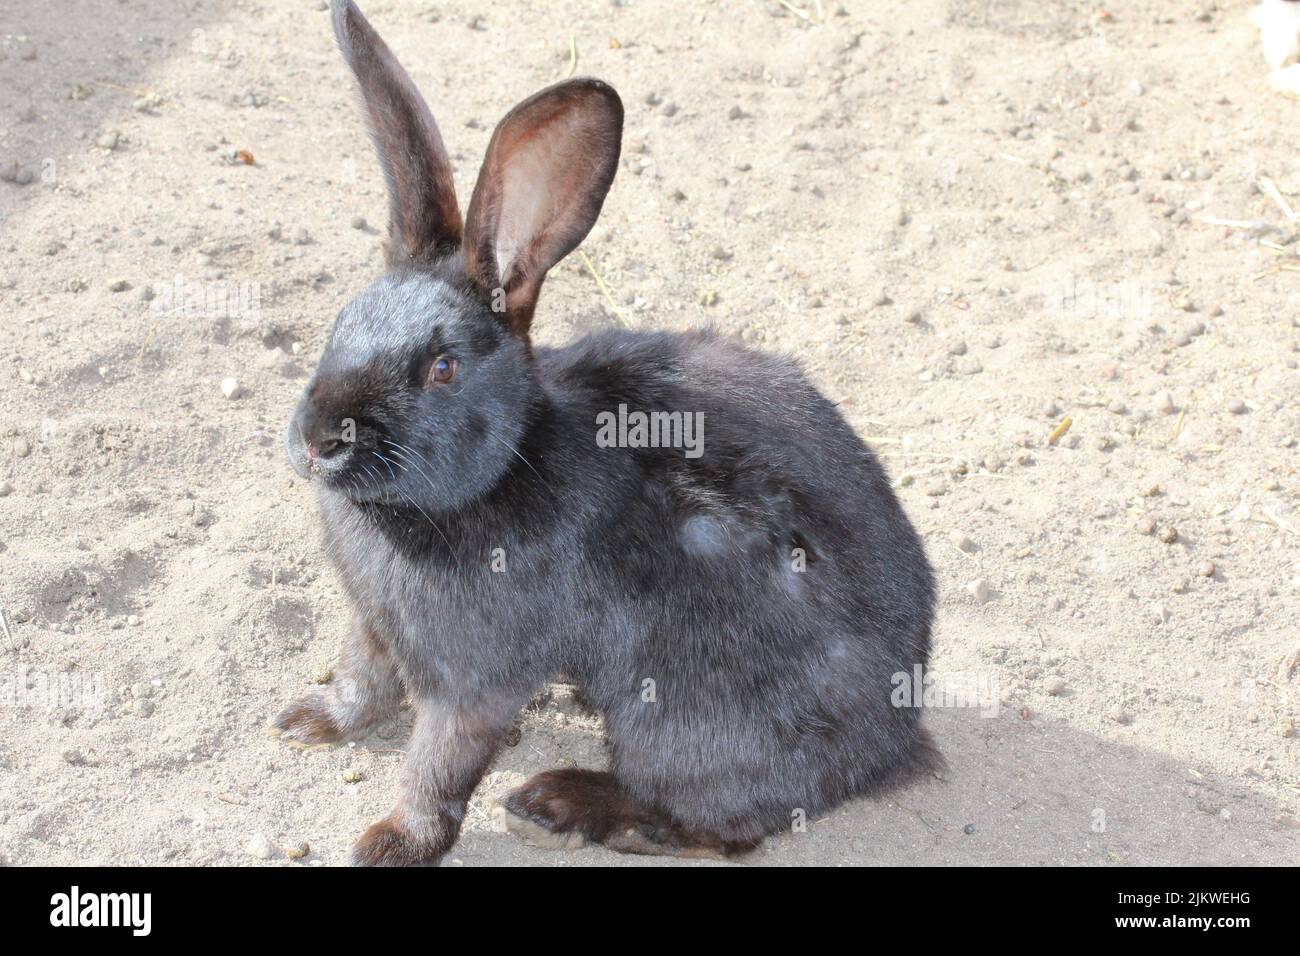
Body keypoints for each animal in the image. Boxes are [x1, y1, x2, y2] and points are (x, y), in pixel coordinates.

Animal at [276, 0, 935, 868]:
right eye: (340, 323)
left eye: (443, 367)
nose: (320, 438)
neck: (502, 467)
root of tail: (891, 744)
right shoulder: (375, 626)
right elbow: (362, 681)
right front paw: (307, 723)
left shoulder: (475, 682)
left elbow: (439, 764)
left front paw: (389, 844)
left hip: (677, 720)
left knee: (719, 826)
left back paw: (564, 803)